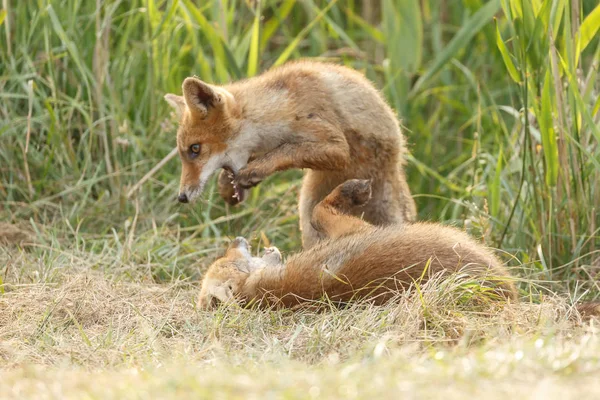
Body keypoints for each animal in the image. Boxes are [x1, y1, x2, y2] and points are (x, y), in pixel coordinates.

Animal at [165, 60, 418, 247]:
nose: (182, 197)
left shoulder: (335, 145)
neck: (278, 108)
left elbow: (287, 150)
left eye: (195, 149)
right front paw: (229, 186)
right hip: (309, 215)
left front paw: (256, 171)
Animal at [197, 179, 516, 310]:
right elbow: (319, 210)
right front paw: (355, 190)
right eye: (228, 260)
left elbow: (317, 210)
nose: (236, 239)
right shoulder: (355, 229)